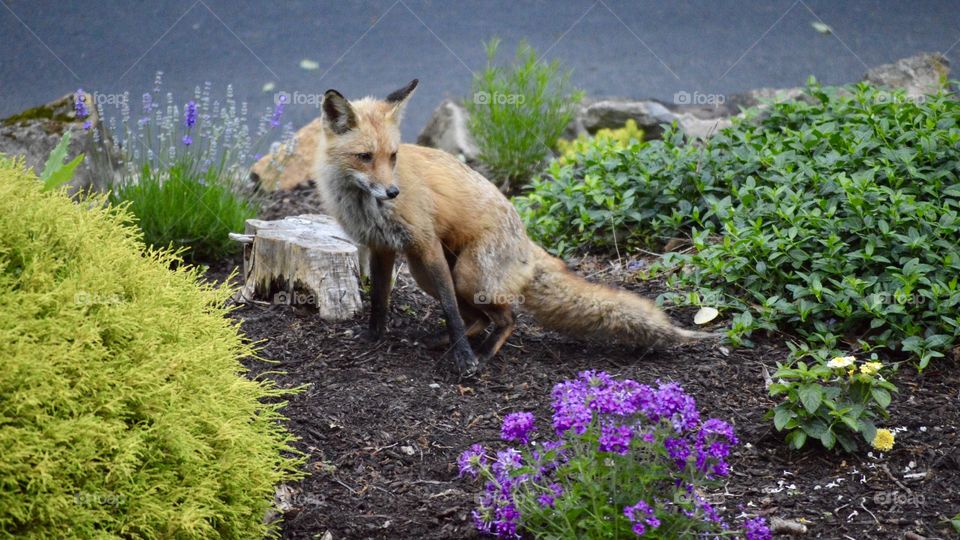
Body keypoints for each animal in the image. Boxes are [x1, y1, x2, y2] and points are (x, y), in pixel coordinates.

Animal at [318, 79, 716, 376]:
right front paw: (373, 338)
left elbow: (449, 311)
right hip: (426, 272)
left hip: (465, 274)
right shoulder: (382, 247)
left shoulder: (425, 242)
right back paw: (449, 341)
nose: (392, 192)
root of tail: (528, 243)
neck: (363, 205)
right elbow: (379, 301)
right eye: (365, 157)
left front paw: (466, 362)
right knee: (478, 318)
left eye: (393, 156)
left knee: (507, 317)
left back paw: (483, 352)